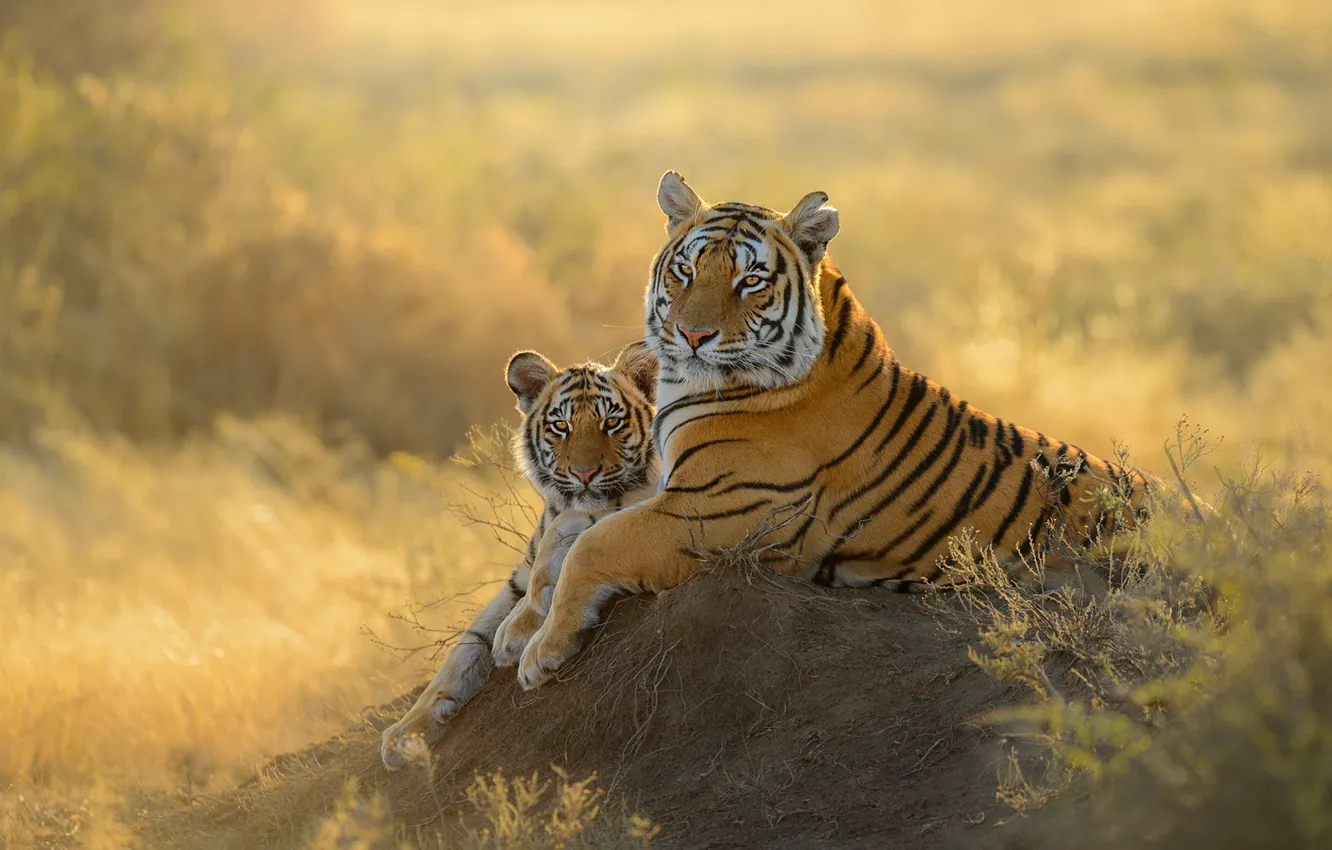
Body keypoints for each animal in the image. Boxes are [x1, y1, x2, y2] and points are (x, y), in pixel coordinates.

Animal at [380, 342, 658, 770]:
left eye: (611, 423)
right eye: (561, 426)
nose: (584, 474)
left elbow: (567, 540)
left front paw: (517, 632)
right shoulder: (516, 580)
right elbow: (464, 648)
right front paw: (405, 733)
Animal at [514, 172, 1158, 691]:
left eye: (749, 282)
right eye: (686, 270)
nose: (692, 336)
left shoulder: (714, 509)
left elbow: (596, 544)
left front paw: (540, 653)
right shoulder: (663, 490)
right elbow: (572, 527)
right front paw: (519, 625)